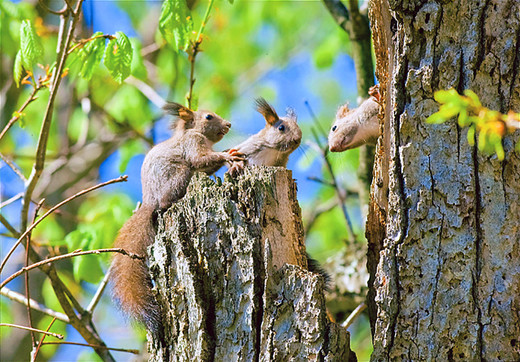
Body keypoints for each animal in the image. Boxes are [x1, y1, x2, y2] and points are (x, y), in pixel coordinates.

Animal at [110, 102, 241, 334]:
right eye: (208, 117)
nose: (228, 124)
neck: (191, 132)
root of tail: (150, 200)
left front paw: (230, 152)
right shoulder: (192, 144)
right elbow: (200, 160)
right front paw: (226, 156)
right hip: (180, 174)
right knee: (166, 202)